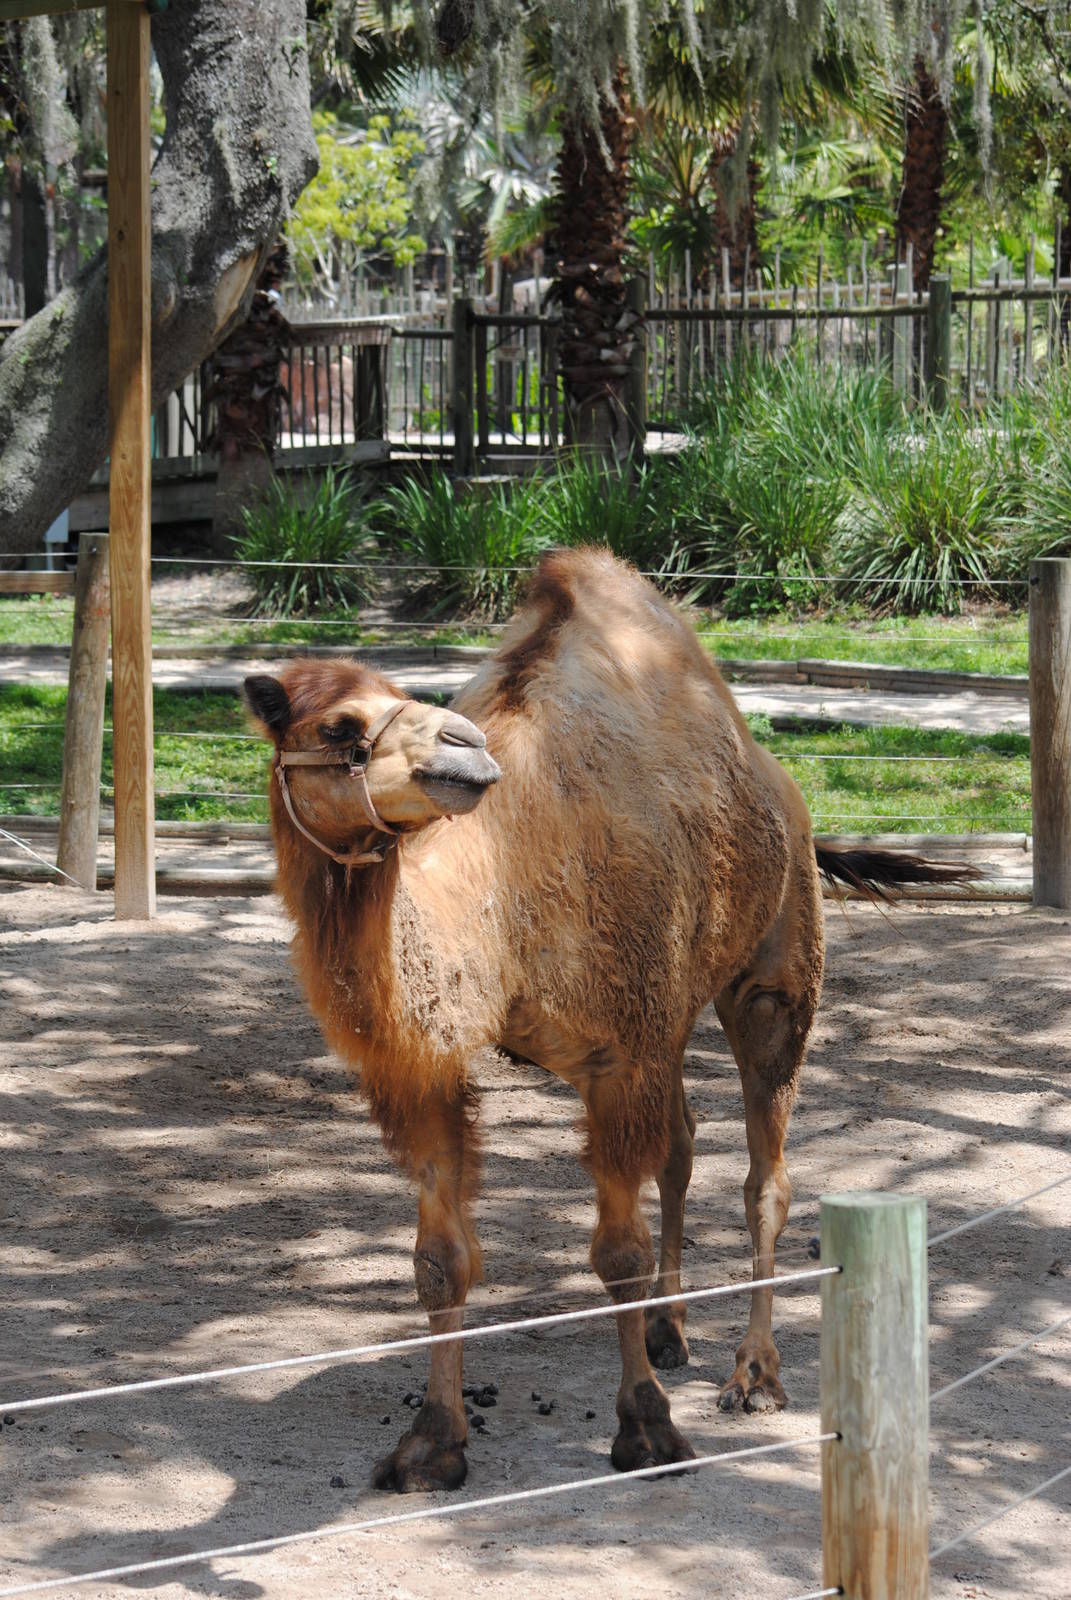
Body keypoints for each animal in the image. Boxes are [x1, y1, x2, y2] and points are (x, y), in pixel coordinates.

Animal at [245, 547, 970, 1492]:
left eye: (402, 694)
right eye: (338, 726)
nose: (463, 750)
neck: (505, 891)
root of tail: (782, 788)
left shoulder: (618, 1052)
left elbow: (615, 1254)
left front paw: (646, 1429)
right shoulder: (433, 1067)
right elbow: (440, 1263)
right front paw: (430, 1443)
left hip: (773, 976)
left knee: (763, 1175)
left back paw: (754, 1375)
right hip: (671, 1017)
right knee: (683, 1144)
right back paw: (669, 1328)